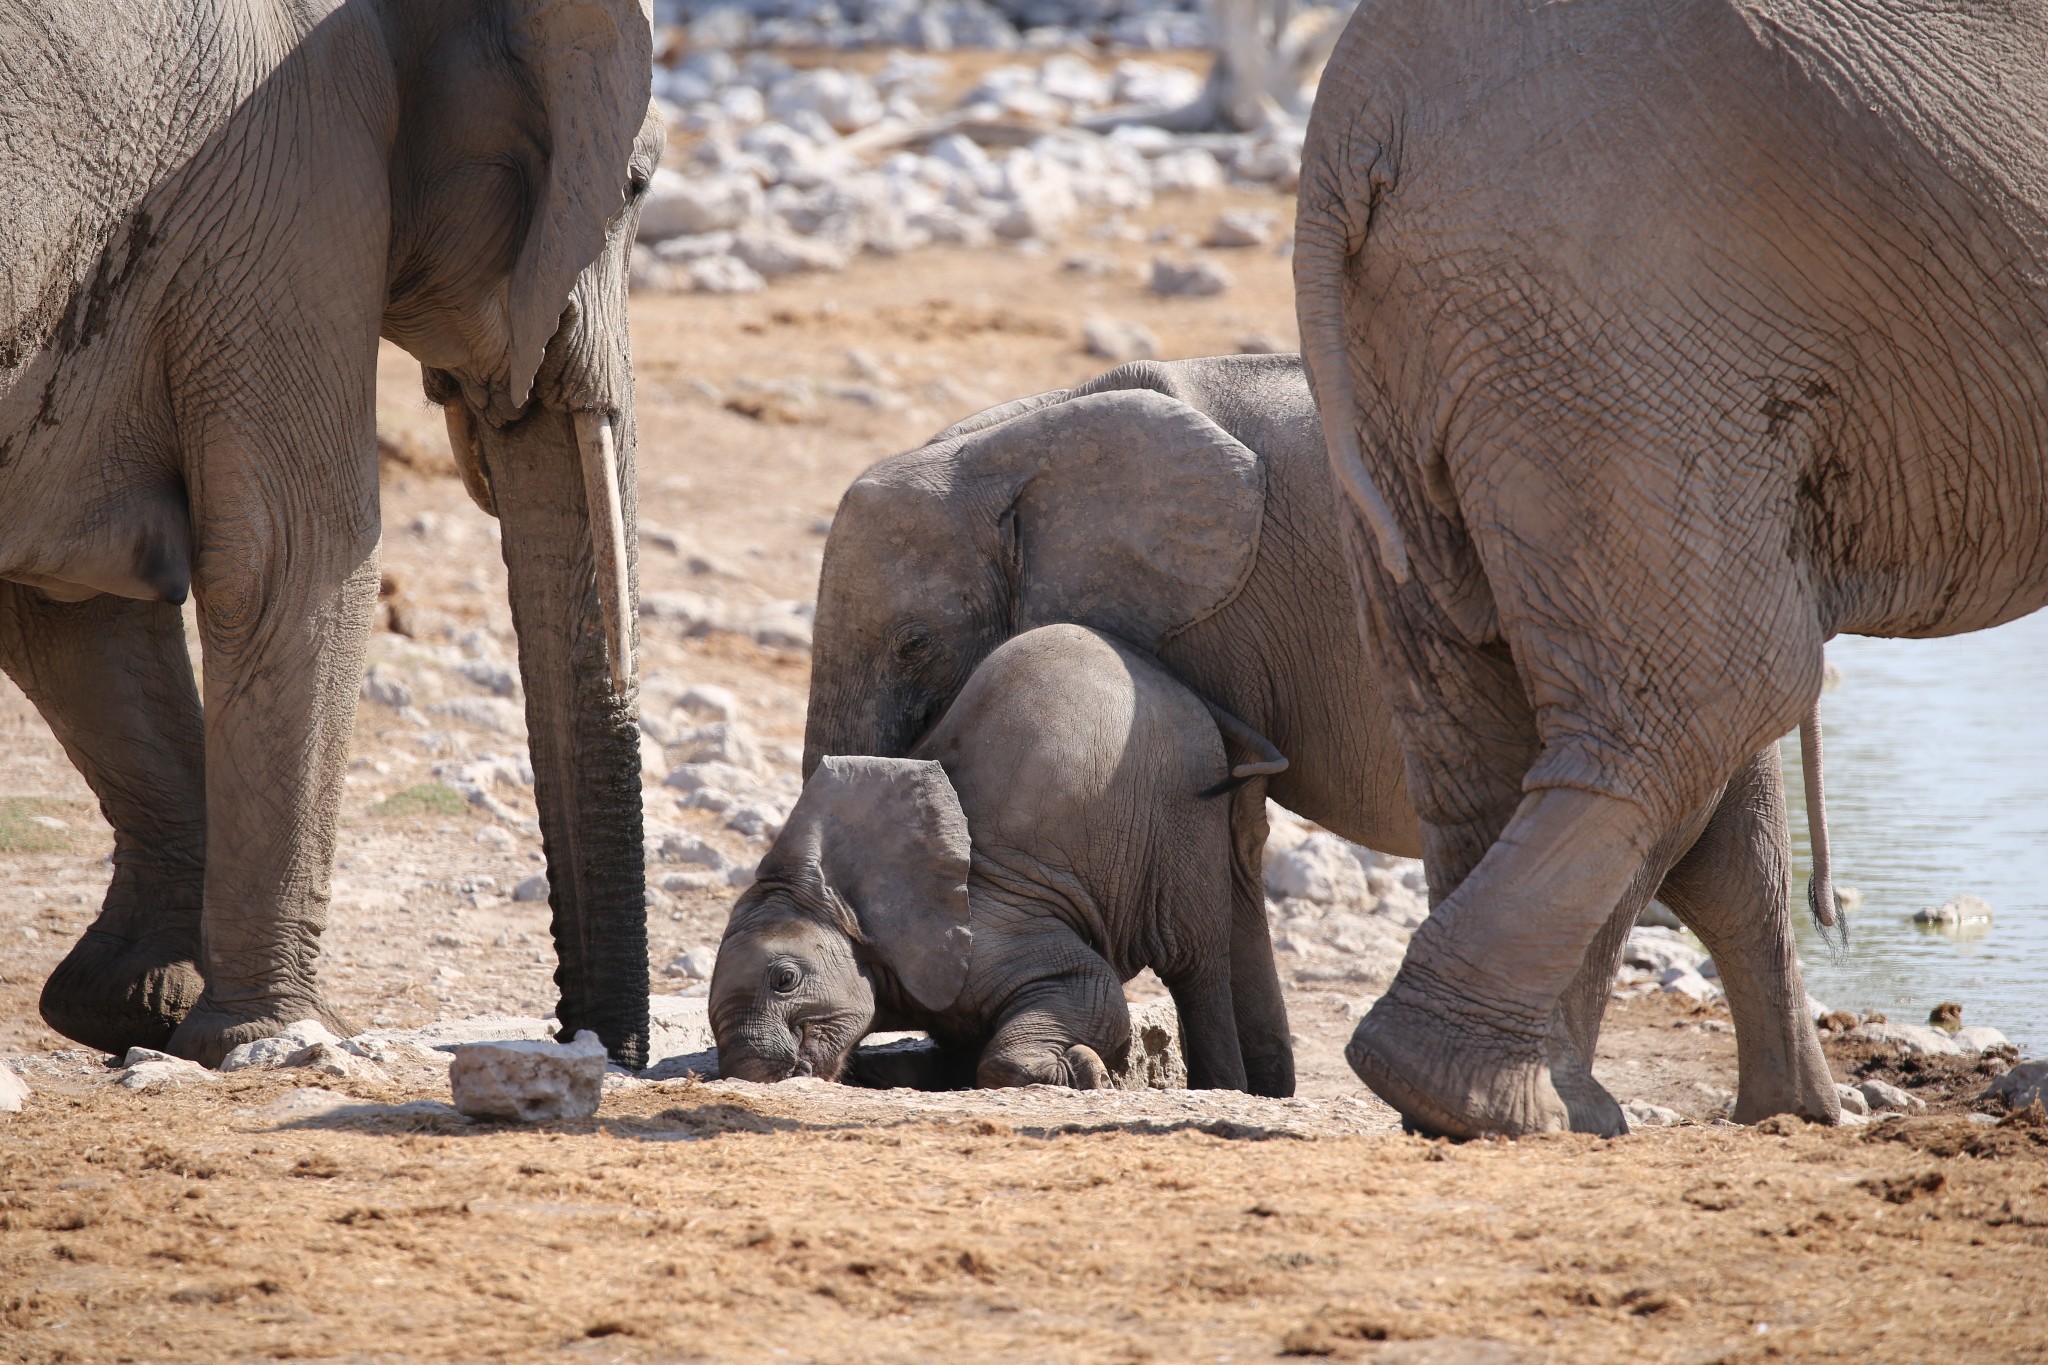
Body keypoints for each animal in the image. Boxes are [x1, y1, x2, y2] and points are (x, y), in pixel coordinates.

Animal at [0, 0, 655, 1064]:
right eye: (639, 185)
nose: (588, 1045)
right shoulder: (294, 177)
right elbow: (296, 555)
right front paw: (280, 1036)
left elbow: (69, 601)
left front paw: (144, 1007)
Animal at [720, 626, 1286, 1096]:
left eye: (784, 979)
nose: (774, 1074)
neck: (840, 890)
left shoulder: (990, 925)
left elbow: (1092, 990)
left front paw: (1091, 1071)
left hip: (1184, 811)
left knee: (1196, 964)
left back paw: (1223, 1087)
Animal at [798, 356, 1843, 1129]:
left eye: (916, 642)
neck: (1013, 442)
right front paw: (1261, 1088)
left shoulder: (1210, 619)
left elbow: (1232, 828)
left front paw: (1241, 1089)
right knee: (1733, 873)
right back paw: (1788, 1117)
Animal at [1294, 0, 2048, 1129]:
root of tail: (1352, 122)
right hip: (1614, 318)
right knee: (1719, 693)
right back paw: (1476, 1096)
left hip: (1432, 347)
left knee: (1480, 717)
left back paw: (1522, 1098)